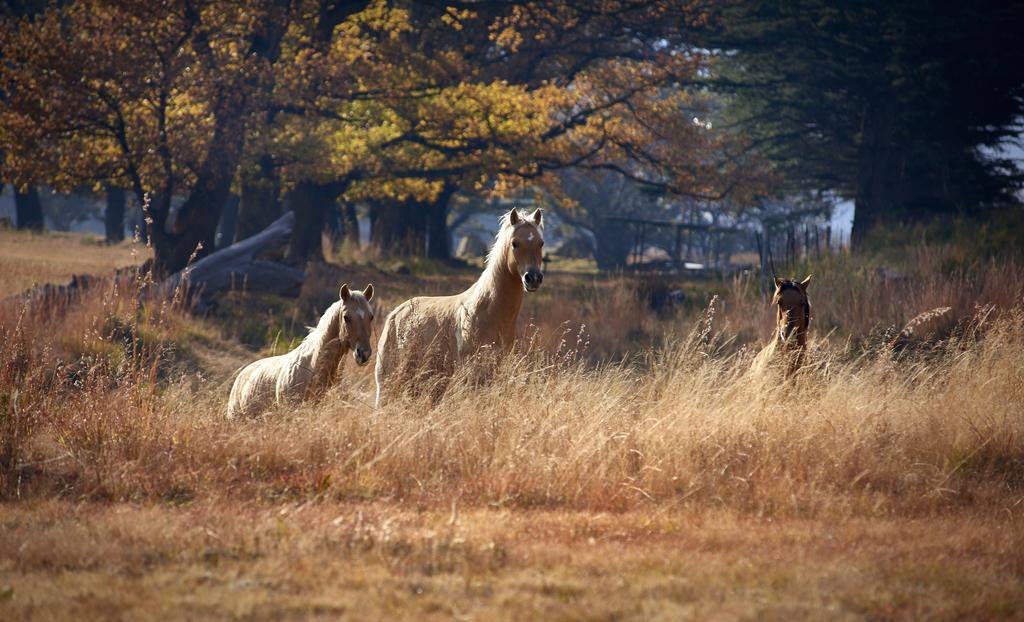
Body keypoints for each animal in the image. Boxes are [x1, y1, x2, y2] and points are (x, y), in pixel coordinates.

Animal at [374, 206, 544, 405]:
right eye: (515, 243)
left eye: (541, 243)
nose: (533, 278)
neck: (488, 312)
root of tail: (395, 313)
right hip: (388, 382)